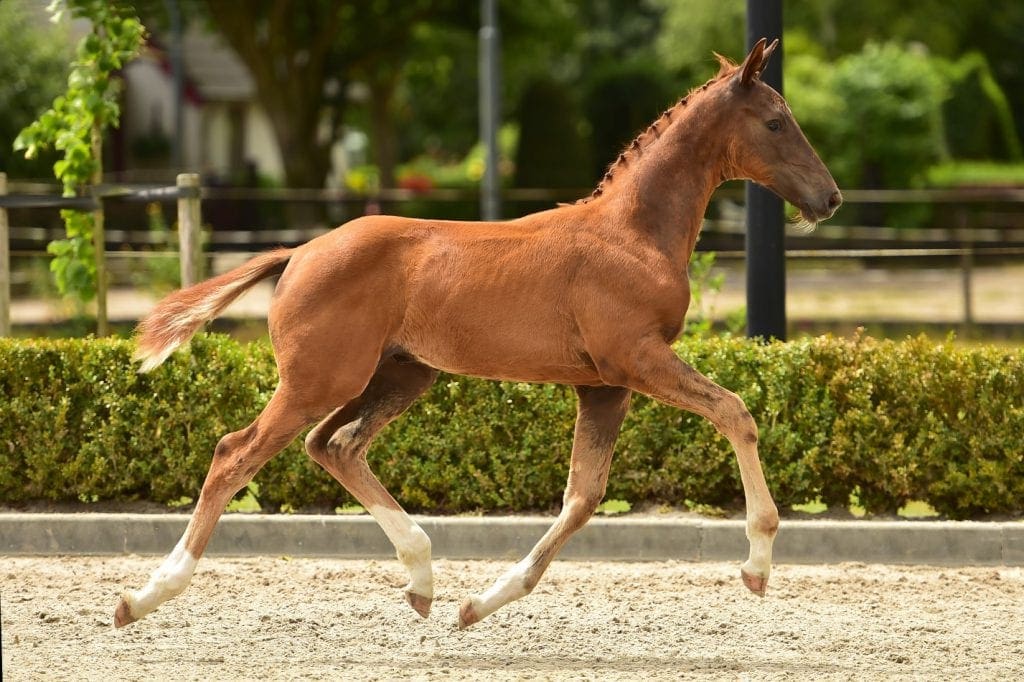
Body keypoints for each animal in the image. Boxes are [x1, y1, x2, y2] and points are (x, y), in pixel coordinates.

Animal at [114, 38, 841, 630]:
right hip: (320, 378)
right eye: (776, 122)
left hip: (402, 372)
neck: (632, 233)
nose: (829, 197)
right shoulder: (636, 359)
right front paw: (758, 562)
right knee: (235, 453)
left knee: (335, 446)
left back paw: (423, 578)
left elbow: (584, 496)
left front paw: (478, 604)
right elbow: (735, 412)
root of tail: (296, 254)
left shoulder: (604, 386)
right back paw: (144, 596)